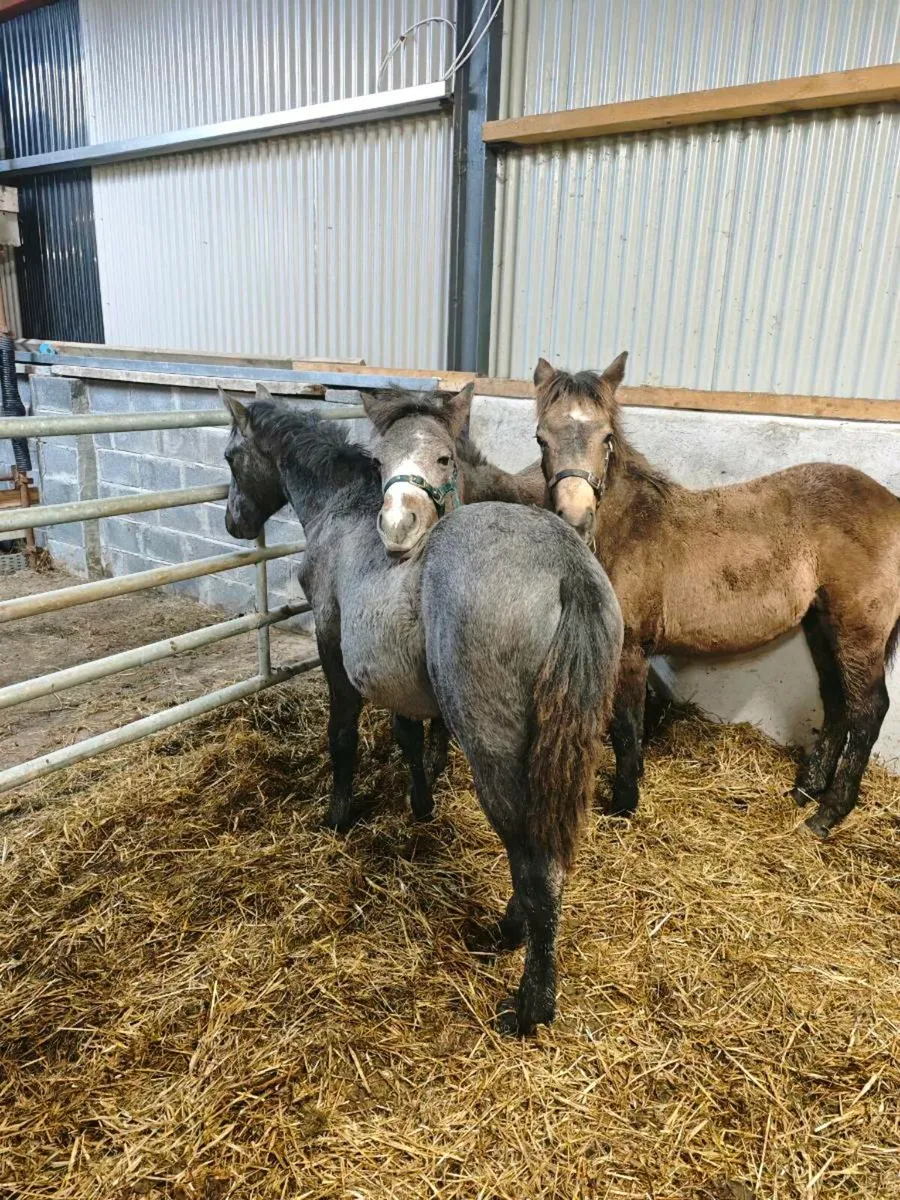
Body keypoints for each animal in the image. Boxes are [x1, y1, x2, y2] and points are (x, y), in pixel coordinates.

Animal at [221, 388, 623, 1033]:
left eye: (232, 457)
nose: (234, 521)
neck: (344, 511)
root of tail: (567, 567)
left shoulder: (334, 652)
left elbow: (341, 736)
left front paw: (338, 814)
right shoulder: (399, 683)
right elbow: (410, 738)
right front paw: (420, 803)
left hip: (497, 753)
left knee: (535, 864)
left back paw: (528, 996)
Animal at [530, 354, 900, 838]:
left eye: (606, 436)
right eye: (541, 438)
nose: (575, 521)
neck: (630, 529)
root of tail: (891, 504)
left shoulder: (631, 652)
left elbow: (626, 726)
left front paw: (624, 803)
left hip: (859, 630)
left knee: (867, 710)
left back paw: (827, 814)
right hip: (822, 625)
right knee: (837, 700)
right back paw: (805, 791)